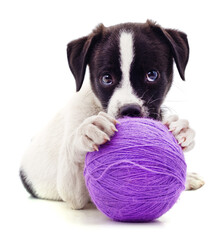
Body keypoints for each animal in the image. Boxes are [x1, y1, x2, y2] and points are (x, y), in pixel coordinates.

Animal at [19, 19, 205, 209]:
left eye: (152, 75)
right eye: (106, 78)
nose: (130, 110)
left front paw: (181, 129)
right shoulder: (72, 193)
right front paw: (87, 132)